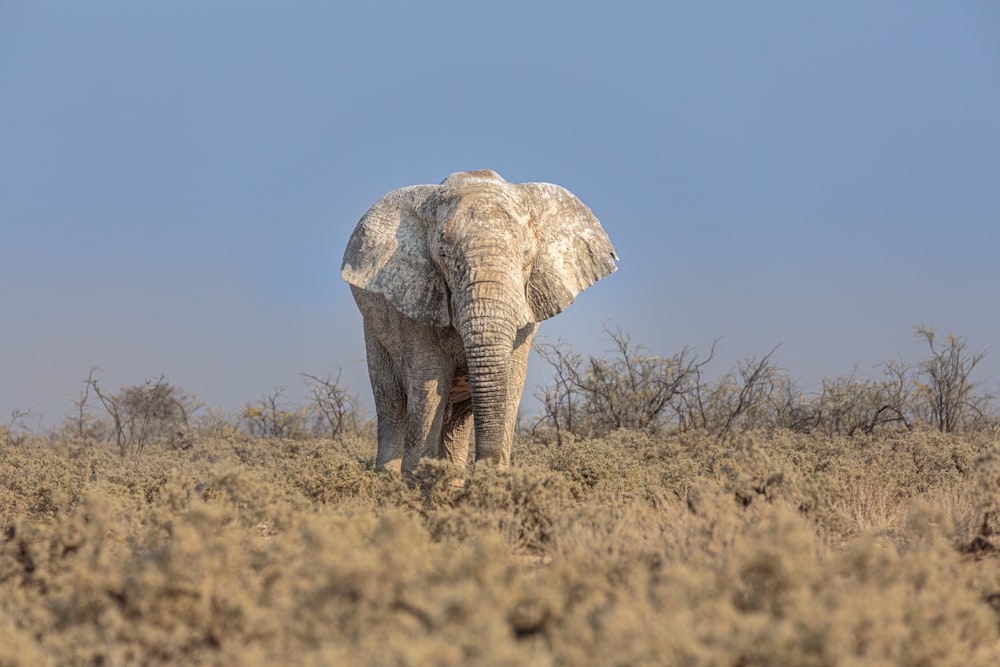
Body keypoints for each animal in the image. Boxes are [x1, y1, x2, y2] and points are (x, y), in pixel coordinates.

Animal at [340, 170, 612, 478]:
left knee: (456, 420)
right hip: (375, 332)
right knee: (393, 403)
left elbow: (511, 382)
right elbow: (427, 383)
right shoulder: (415, 299)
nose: (483, 470)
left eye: (526, 253)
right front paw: (416, 484)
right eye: (442, 255)